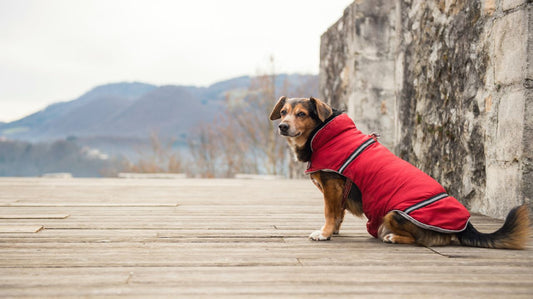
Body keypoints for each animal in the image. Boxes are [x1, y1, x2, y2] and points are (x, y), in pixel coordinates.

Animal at [270, 97, 528, 250]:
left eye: (301, 114)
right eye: (283, 112)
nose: (282, 126)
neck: (324, 133)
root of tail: (466, 225)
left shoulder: (332, 185)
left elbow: (330, 213)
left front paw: (324, 234)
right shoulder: (337, 191)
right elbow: (338, 215)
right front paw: (332, 232)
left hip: (393, 213)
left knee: (428, 240)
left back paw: (393, 237)